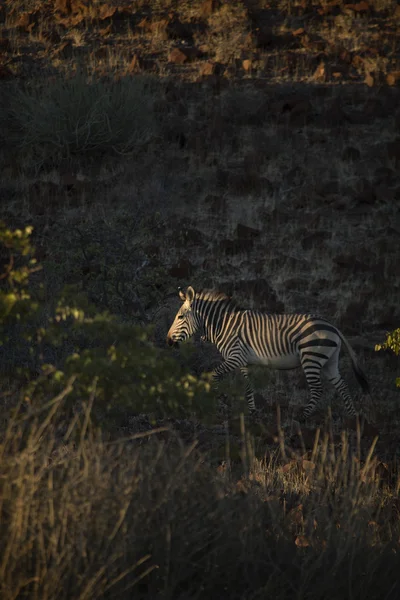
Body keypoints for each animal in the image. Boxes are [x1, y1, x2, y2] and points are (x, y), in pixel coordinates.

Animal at [166, 286, 368, 418]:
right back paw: (353, 418)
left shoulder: (235, 357)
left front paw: (216, 402)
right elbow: (248, 387)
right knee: (342, 386)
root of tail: (333, 327)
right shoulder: (243, 361)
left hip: (311, 358)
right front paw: (252, 412)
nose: (168, 342)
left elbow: (213, 374)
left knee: (318, 389)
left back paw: (303, 417)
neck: (224, 324)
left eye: (180, 317)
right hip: (329, 362)